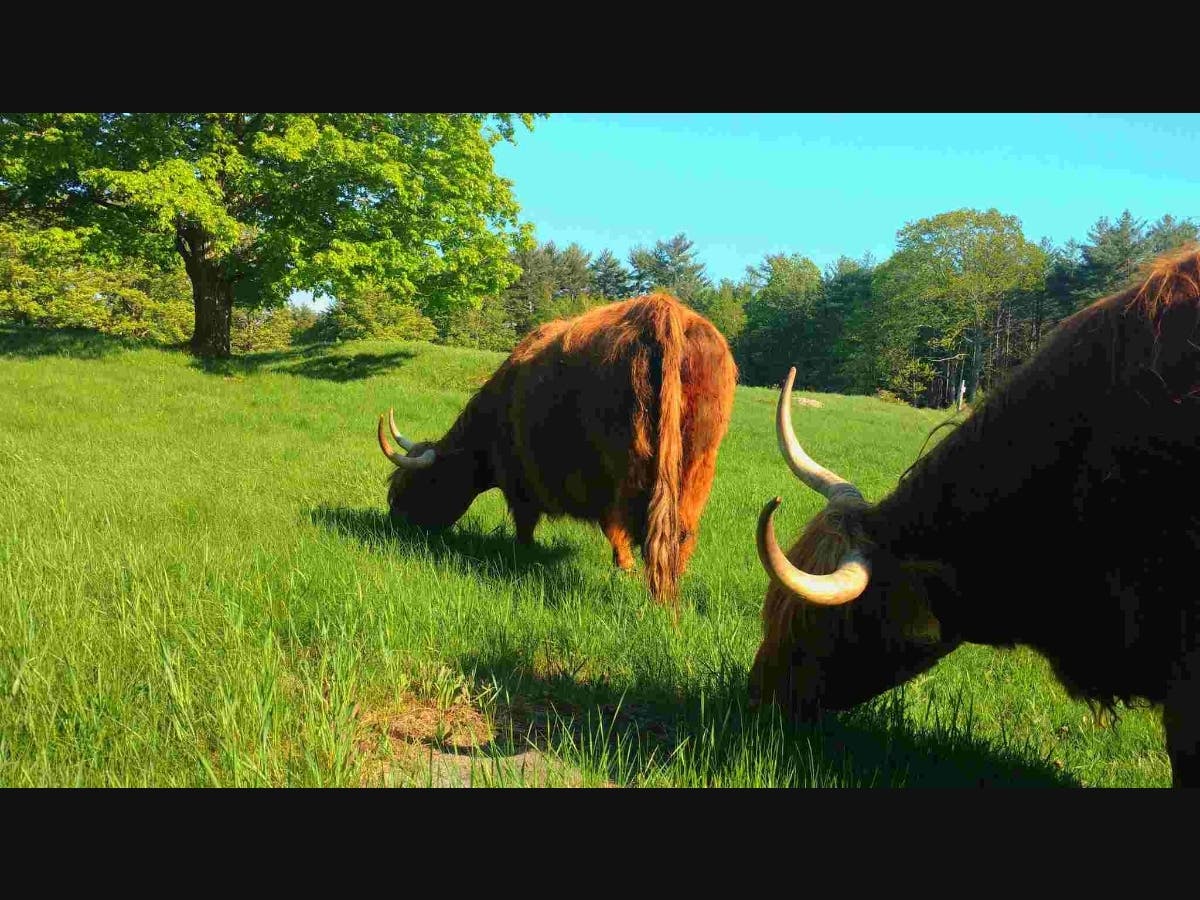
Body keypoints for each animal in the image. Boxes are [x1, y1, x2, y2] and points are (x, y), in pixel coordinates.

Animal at [376, 292, 737, 610]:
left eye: (419, 485)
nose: (395, 523)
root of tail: (661, 312)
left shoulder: (524, 483)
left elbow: (530, 525)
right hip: (699, 463)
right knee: (680, 531)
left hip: (628, 463)